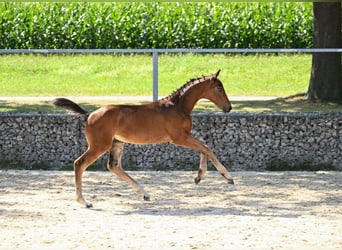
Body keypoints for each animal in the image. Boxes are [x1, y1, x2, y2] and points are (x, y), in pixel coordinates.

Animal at [53, 70, 234, 207]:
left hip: (117, 142)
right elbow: (205, 147)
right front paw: (227, 177)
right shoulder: (178, 137)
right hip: (99, 145)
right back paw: (83, 201)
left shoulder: (185, 136)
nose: (229, 107)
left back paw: (145, 194)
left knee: (114, 166)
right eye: (219, 88)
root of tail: (90, 114)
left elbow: (204, 146)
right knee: (79, 164)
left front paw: (199, 176)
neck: (177, 107)